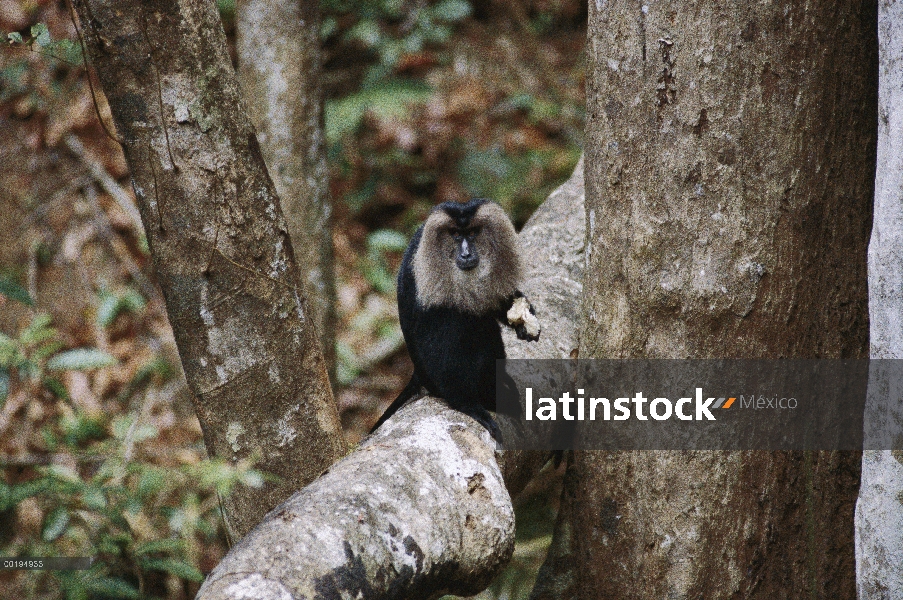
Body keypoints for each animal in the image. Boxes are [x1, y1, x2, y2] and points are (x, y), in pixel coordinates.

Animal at [370, 199, 540, 438]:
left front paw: (524, 320)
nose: (466, 254)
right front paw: (467, 405)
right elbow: (440, 345)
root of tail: (418, 375)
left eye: (473, 232)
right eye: (456, 235)